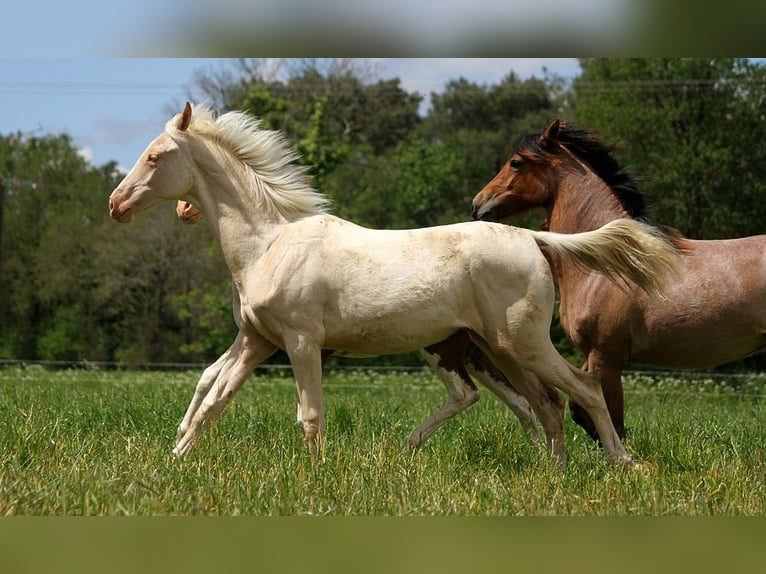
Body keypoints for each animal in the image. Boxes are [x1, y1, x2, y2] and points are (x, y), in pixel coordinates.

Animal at [109, 103, 680, 468]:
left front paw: (315, 479)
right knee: (544, 404)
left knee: (580, 389)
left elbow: (309, 416)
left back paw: (624, 463)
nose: (116, 204)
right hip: (500, 348)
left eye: (156, 156)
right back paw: (552, 475)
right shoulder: (257, 340)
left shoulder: (300, 342)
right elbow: (214, 397)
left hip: (521, 343)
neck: (271, 242)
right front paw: (174, 461)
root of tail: (533, 239)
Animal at [474, 118, 766, 440]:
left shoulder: (607, 357)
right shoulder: (593, 354)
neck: (603, 261)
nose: (478, 205)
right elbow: (581, 408)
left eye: (515, 162)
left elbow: (612, 419)